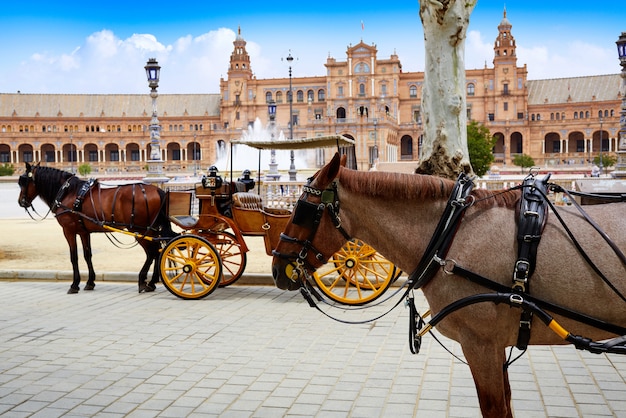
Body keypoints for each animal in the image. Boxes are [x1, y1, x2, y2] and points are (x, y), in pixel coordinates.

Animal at [18, 162, 174, 296]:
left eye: (23, 181)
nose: (21, 202)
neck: (68, 192)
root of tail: (158, 189)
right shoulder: (83, 232)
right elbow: (87, 255)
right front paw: (90, 282)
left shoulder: (68, 231)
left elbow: (74, 256)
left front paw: (74, 284)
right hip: (152, 230)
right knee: (158, 251)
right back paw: (152, 282)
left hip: (140, 231)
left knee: (151, 252)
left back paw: (142, 280)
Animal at [272, 153, 624, 418]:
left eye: (301, 210)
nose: (277, 266)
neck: (452, 234)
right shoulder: (496, 346)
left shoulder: (480, 345)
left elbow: (495, 409)